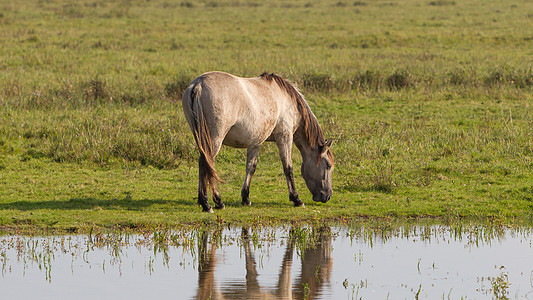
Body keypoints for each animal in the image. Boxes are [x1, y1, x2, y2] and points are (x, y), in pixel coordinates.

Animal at [182, 71, 332, 212]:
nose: (328, 196)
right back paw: (213, 203)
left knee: (205, 164)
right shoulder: (285, 137)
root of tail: (199, 84)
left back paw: (207, 202)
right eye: (328, 165)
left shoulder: (255, 142)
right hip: (214, 139)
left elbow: (251, 167)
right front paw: (296, 199)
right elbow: (288, 168)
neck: (286, 100)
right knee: (207, 163)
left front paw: (246, 198)